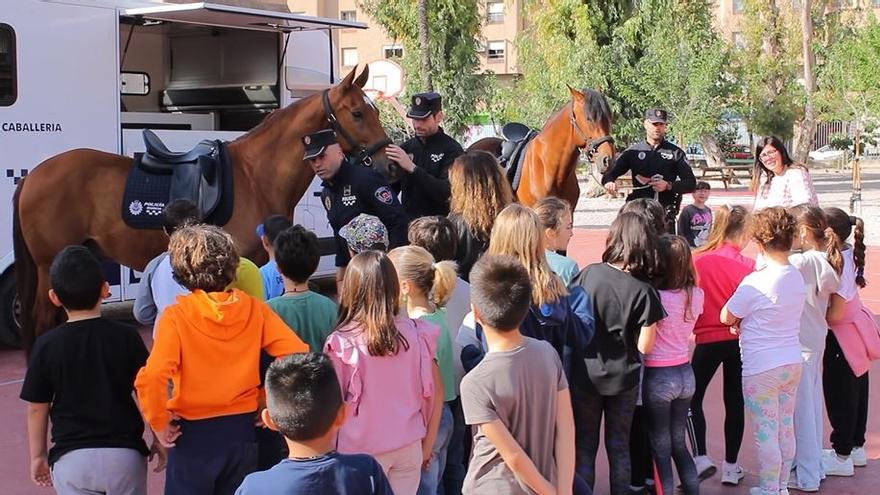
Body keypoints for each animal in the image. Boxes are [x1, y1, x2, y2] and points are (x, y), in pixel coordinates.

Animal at [12, 66, 392, 350]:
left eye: (374, 110)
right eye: (357, 112)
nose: (388, 164)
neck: (254, 175)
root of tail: (33, 176)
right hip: (48, 263)